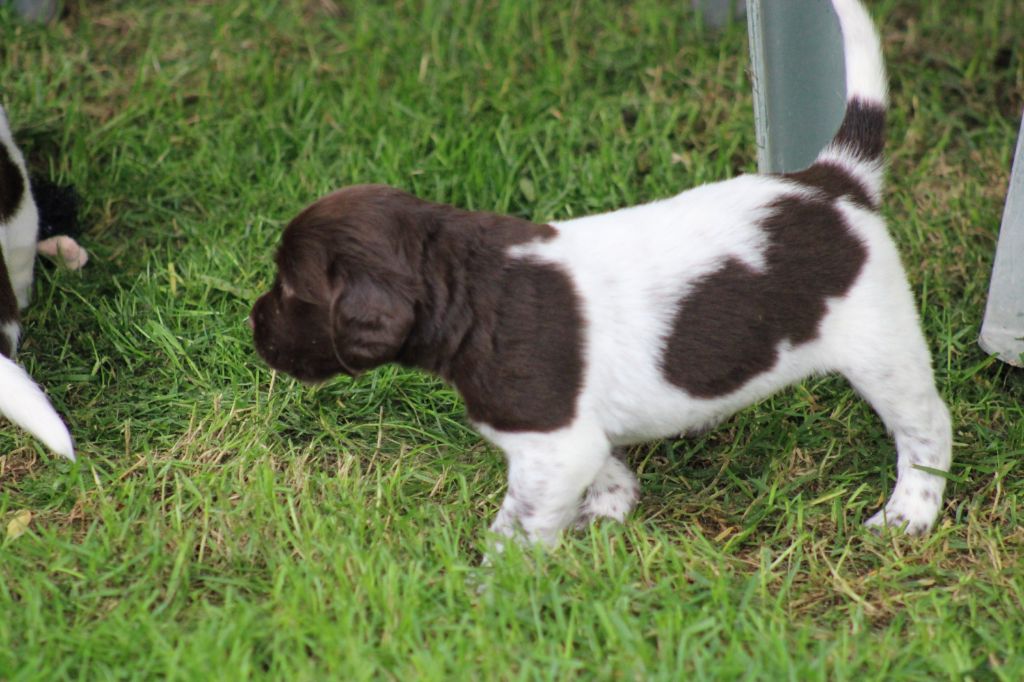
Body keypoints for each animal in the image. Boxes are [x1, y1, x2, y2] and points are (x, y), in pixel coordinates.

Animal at [249, 0, 950, 544]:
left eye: (291, 290)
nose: (252, 325)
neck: (468, 286)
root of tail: (832, 180)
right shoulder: (578, 436)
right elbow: (607, 472)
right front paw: (605, 517)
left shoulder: (552, 446)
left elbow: (516, 531)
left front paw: (494, 594)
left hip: (883, 349)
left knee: (927, 433)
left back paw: (909, 515)